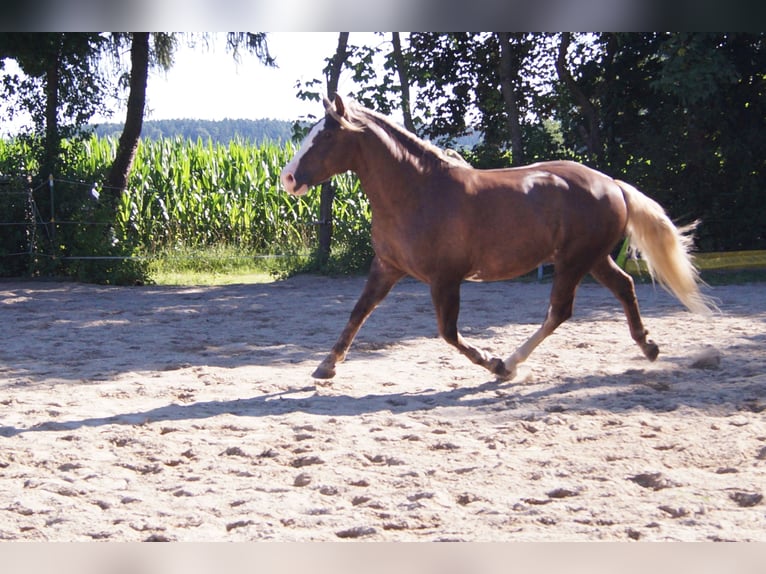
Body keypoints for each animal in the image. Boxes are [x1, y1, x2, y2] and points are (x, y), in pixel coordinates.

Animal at [280, 94, 716, 381]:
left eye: (325, 137)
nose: (287, 178)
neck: (417, 191)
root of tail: (611, 183)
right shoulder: (386, 267)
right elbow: (358, 312)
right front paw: (326, 366)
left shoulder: (445, 279)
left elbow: (449, 332)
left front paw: (491, 363)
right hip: (593, 258)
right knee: (624, 287)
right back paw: (649, 347)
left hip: (573, 261)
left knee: (559, 312)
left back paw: (510, 363)